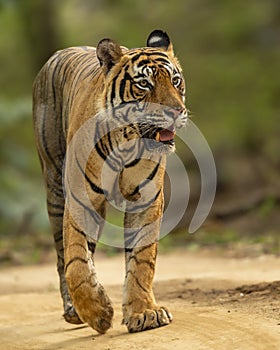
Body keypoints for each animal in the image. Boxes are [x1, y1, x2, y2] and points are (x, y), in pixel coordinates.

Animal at [32, 29, 188, 334]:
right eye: (144, 84)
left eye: (175, 81)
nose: (176, 112)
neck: (126, 141)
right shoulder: (80, 198)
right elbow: (75, 261)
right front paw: (97, 312)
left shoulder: (146, 200)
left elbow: (142, 260)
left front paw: (145, 312)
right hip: (55, 187)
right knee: (62, 255)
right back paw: (73, 310)